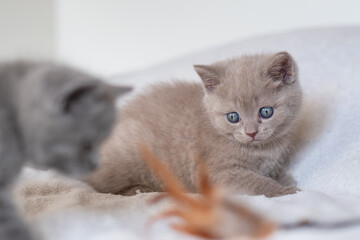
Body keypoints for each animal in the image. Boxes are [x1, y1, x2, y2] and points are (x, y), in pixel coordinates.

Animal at [88, 52, 302, 199]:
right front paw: (286, 191)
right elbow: (257, 183)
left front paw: (286, 178)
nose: (251, 133)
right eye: (233, 117)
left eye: (266, 112)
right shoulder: (218, 174)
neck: (262, 149)